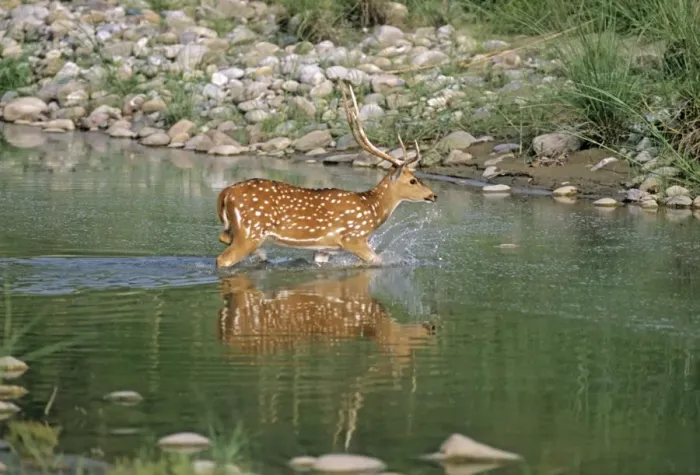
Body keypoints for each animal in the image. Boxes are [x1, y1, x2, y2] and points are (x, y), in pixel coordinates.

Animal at [215, 83, 437, 269]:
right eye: (413, 180)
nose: (433, 195)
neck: (372, 209)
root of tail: (226, 193)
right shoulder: (353, 237)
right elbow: (377, 261)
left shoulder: (324, 248)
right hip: (250, 230)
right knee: (223, 259)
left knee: (224, 239)